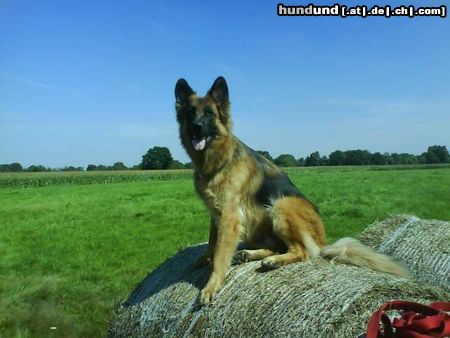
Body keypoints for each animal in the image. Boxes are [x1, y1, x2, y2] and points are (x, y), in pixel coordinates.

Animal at [174, 78, 410, 304]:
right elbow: (212, 242)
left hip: (281, 204)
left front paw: (211, 285)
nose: (196, 126)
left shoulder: (229, 218)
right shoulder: (216, 215)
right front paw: (206, 258)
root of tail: (323, 242)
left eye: (209, 114)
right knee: (281, 247)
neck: (218, 162)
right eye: (190, 113)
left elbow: (221, 256)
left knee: (301, 251)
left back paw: (273, 261)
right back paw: (252, 254)